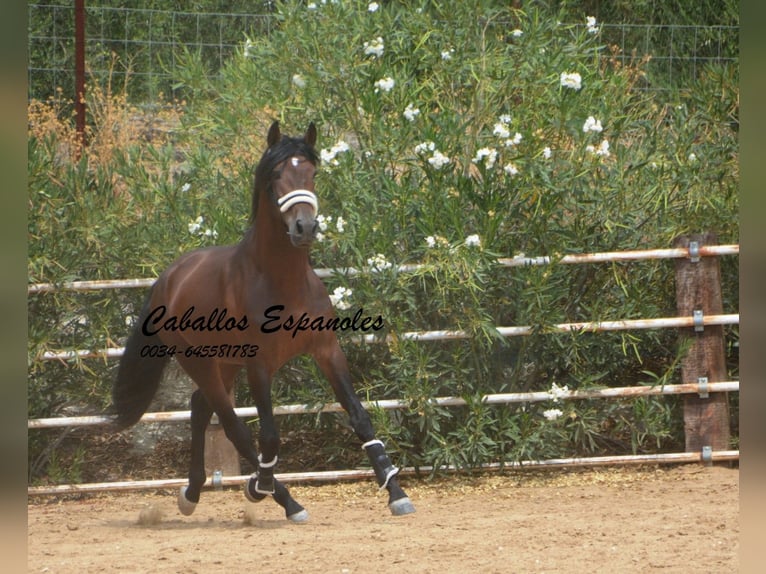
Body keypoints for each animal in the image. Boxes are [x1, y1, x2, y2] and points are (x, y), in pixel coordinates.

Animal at [112, 121, 416, 520]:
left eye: (313, 173)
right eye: (275, 175)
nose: (304, 227)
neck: (283, 281)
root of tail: (169, 278)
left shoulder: (327, 351)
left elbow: (359, 416)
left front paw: (396, 493)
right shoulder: (259, 366)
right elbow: (268, 435)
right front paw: (261, 487)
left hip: (224, 362)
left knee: (199, 409)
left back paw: (192, 493)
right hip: (198, 361)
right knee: (231, 425)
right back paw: (280, 498)